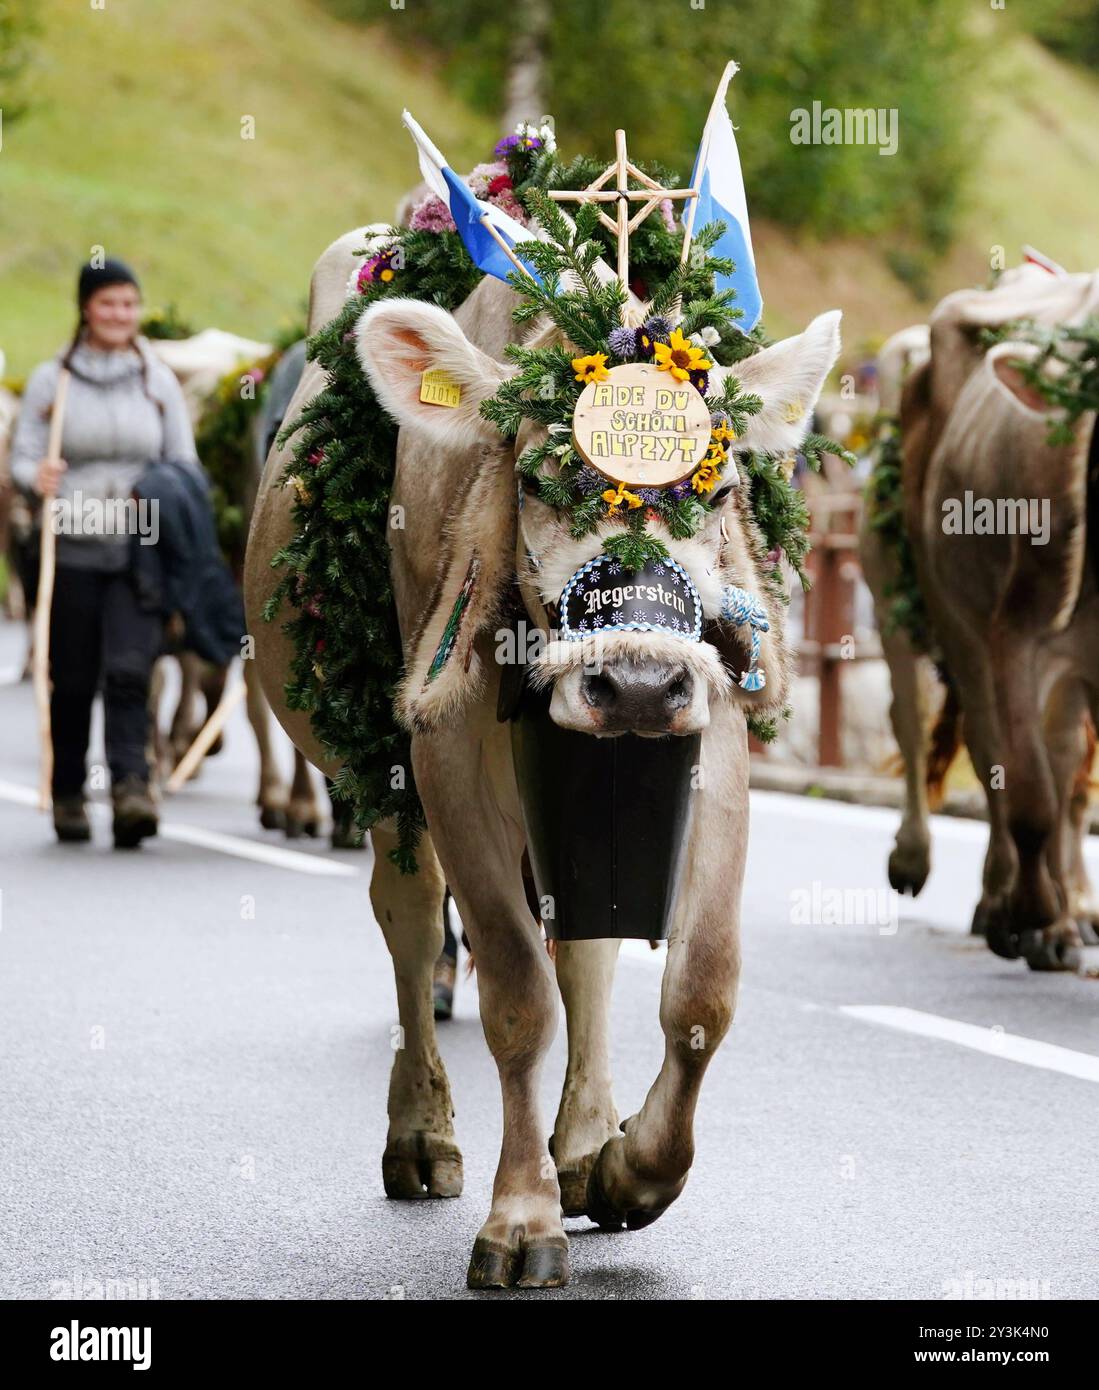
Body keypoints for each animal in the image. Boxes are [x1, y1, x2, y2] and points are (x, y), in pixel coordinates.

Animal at [245, 226, 841, 1288]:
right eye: (534, 479)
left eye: (721, 488)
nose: (637, 683)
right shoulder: (443, 750)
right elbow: (517, 992)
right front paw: (521, 1222)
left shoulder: (712, 726)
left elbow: (702, 987)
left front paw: (631, 1173)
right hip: (384, 784)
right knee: (410, 925)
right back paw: (421, 1137)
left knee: (587, 950)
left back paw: (584, 1141)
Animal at [860, 266, 1099, 972]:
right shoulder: (1015, 634)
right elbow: (1028, 789)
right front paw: (1034, 916)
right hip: (933, 615)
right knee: (949, 733)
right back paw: (983, 896)